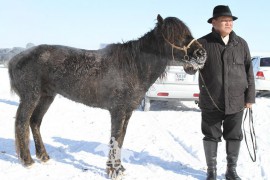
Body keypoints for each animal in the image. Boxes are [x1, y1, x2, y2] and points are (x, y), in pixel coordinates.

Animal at [8, 14, 207, 179]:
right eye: (174, 35)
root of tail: (15, 59)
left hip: (47, 97)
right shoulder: (118, 111)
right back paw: (27, 160)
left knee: (35, 122)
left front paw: (119, 168)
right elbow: (115, 137)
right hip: (31, 97)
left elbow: (121, 139)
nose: (201, 54)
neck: (133, 66)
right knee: (22, 123)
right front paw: (113, 170)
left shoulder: (127, 112)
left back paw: (43, 156)